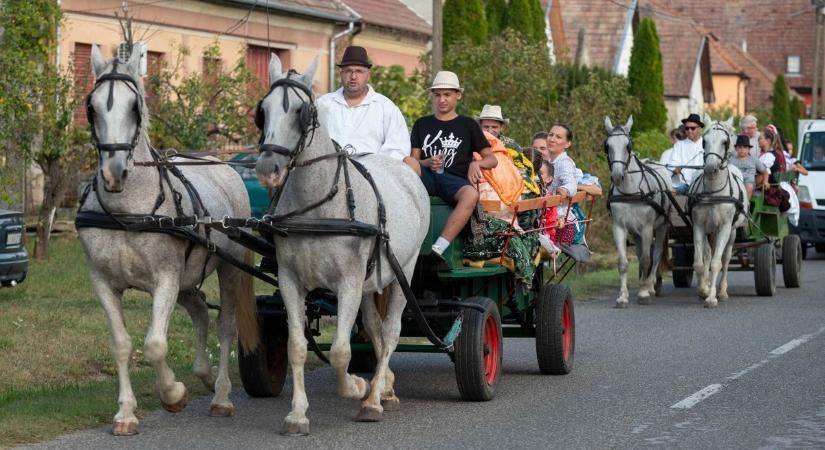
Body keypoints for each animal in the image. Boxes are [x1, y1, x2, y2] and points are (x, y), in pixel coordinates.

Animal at [78, 44, 258, 434]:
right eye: (91, 106)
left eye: (135, 106)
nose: (113, 173)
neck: (129, 210)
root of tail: (223, 166)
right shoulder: (102, 281)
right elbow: (121, 344)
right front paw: (125, 414)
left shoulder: (166, 278)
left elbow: (156, 345)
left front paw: (173, 394)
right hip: (188, 278)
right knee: (200, 310)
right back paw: (204, 374)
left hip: (227, 270)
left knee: (225, 326)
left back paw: (221, 396)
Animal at [254, 54, 428, 434]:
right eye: (264, 110)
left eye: (301, 112)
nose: (267, 167)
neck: (318, 207)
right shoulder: (290, 281)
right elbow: (296, 346)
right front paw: (297, 415)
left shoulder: (347, 282)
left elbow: (339, 352)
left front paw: (357, 387)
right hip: (369, 282)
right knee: (375, 330)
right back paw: (385, 386)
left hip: (402, 272)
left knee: (390, 331)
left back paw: (374, 399)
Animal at [600, 116, 672, 308]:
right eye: (607, 146)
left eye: (628, 146)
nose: (617, 176)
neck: (630, 191)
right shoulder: (619, 227)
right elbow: (624, 262)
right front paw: (622, 297)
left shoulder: (647, 228)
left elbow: (648, 259)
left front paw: (644, 293)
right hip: (635, 232)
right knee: (640, 255)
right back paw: (643, 283)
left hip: (661, 226)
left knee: (656, 254)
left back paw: (651, 286)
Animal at [688, 114, 748, 308]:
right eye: (704, 141)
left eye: (724, 142)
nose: (710, 168)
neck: (714, 193)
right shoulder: (699, 226)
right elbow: (700, 263)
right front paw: (704, 290)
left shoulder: (725, 227)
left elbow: (716, 263)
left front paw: (712, 298)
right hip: (710, 231)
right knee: (707, 254)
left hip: (732, 232)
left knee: (726, 258)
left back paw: (722, 291)